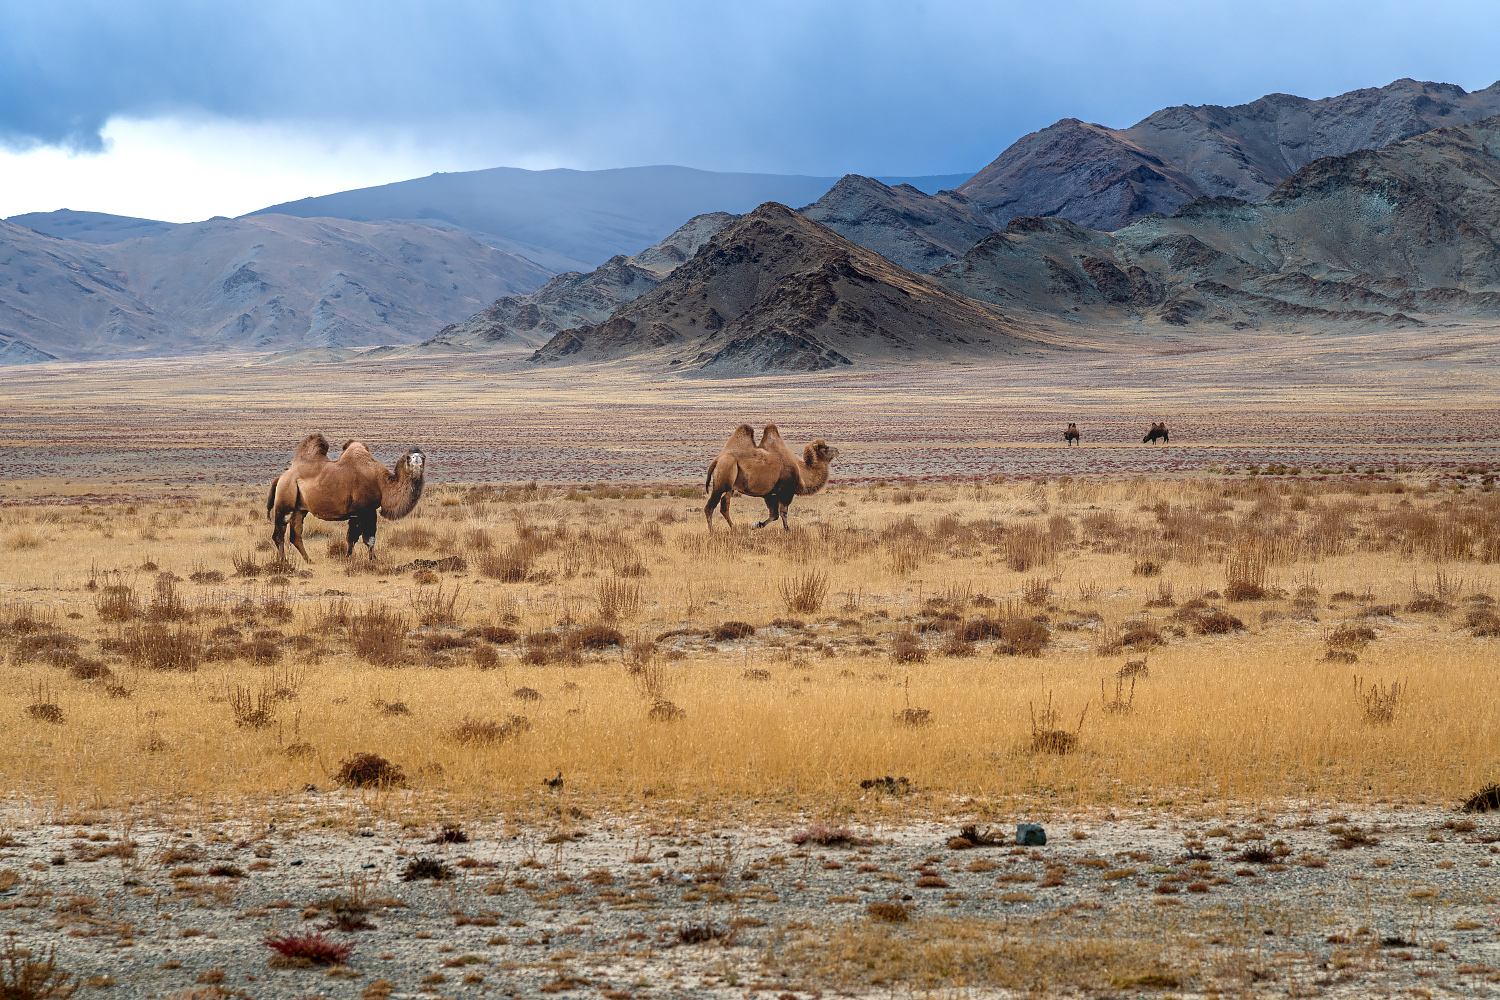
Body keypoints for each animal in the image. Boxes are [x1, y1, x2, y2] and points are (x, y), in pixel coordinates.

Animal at [264, 431, 426, 563]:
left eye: (423, 456)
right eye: (409, 457)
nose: (417, 459)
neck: (381, 483)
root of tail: (280, 477)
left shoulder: (357, 513)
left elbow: (352, 537)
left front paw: (347, 558)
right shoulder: (367, 510)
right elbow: (369, 539)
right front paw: (374, 560)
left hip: (300, 508)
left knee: (295, 535)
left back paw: (308, 560)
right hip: (285, 499)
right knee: (279, 533)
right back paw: (283, 561)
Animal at [699, 422, 840, 530]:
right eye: (826, 448)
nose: (838, 450)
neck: (801, 471)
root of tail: (717, 460)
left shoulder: (770, 494)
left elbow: (774, 515)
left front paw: (756, 525)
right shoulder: (786, 492)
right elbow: (783, 513)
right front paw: (787, 530)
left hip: (730, 487)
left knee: (724, 507)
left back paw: (734, 528)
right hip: (722, 480)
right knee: (709, 507)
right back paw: (712, 532)